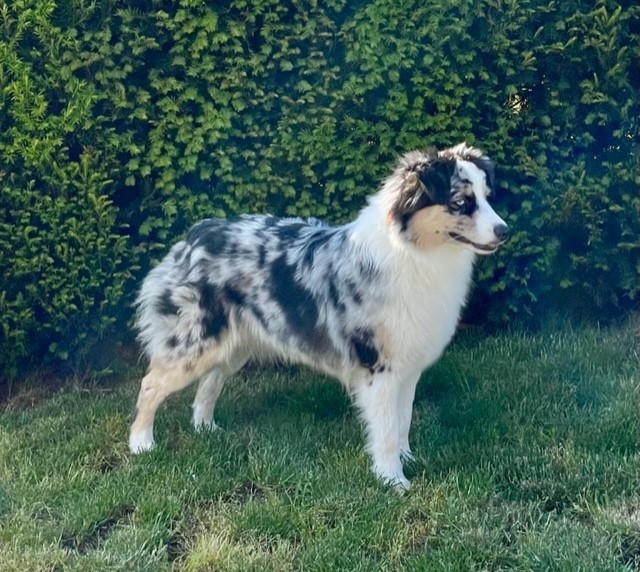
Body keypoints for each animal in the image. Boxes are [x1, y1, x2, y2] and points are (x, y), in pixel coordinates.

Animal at [129, 143, 508, 489]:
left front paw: (407, 458)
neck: (415, 252)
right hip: (194, 342)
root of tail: (195, 235)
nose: (504, 231)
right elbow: (386, 428)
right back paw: (141, 444)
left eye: (487, 197)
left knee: (209, 382)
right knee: (151, 384)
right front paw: (393, 480)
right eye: (461, 202)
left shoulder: (407, 364)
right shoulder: (378, 365)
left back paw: (206, 429)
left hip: (233, 343)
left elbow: (403, 418)